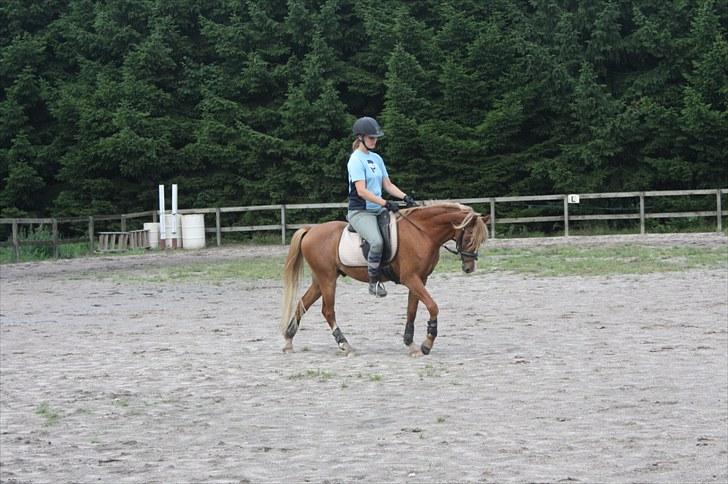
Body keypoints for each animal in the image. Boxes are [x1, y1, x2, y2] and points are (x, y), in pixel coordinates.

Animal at [278, 202, 490, 358]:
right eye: (469, 238)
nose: (469, 268)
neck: (421, 232)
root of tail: (310, 230)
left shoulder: (420, 279)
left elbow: (411, 311)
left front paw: (411, 344)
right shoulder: (411, 278)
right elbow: (433, 306)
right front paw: (427, 343)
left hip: (320, 281)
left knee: (302, 304)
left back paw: (288, 341)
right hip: (327, 279)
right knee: (327, 311)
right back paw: (345, 345)